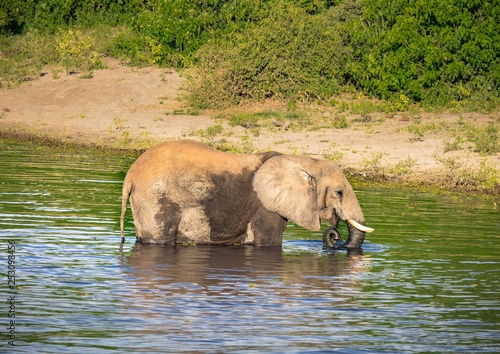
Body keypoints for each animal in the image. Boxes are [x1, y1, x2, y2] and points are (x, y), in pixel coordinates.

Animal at [120, 141, 372, 249]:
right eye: (338, 193)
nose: (335, 236)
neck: (303, 161)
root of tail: (130, 176)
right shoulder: (265, 207)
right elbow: (266, 242)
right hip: (156, 199)